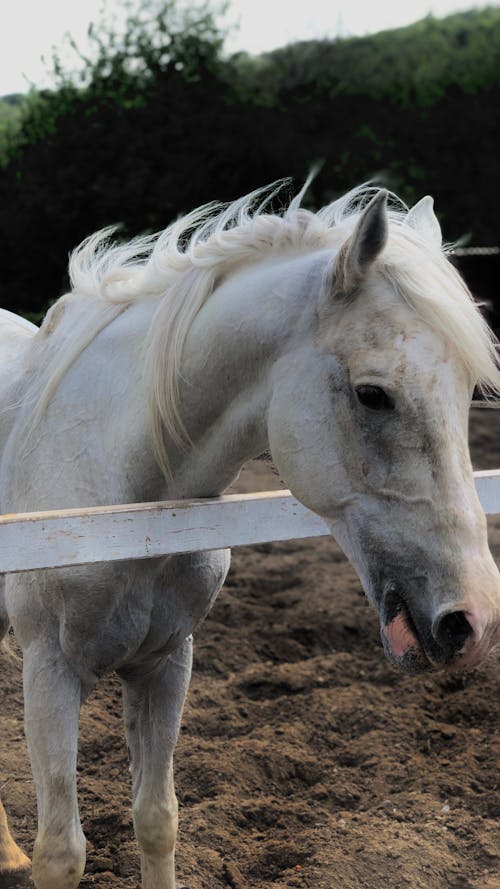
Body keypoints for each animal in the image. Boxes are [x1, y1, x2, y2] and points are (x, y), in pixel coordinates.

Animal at [0, 180, 500, 888]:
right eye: (373, 394)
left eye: (467, 393)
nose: (473, 621)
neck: (124, 515)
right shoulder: (50, 672)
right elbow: (62, 855)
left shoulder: (166, 661)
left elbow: (156, 819)